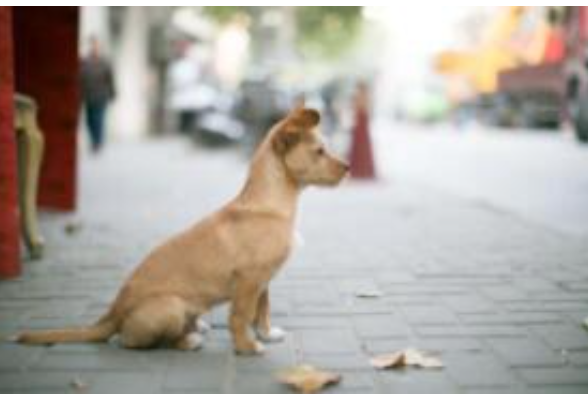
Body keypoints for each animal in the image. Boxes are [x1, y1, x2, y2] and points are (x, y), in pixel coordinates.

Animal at [17, 107, 350, 356]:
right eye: (320, 151)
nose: (348, 167)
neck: (270, 202)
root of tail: (113, 312)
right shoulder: (249, 280)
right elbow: (241, 316)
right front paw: (247, 347)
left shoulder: (264, 280)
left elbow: (263, 311)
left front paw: (266, 335)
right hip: (170, 307)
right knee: (130, 341)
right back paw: (188, 340)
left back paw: (196, 327)